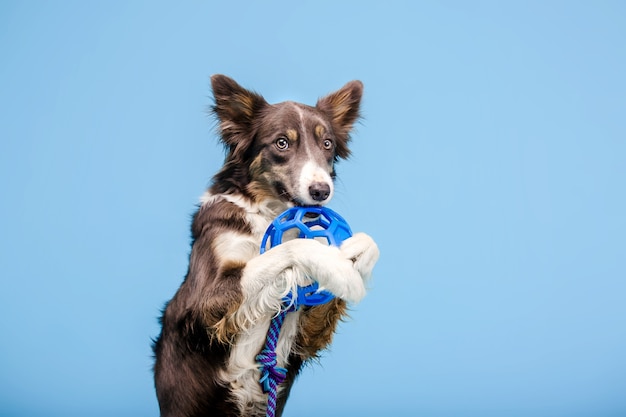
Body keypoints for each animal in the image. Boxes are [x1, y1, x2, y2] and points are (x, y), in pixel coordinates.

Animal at [153, 75, 378, 416]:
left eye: (327, 144)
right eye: (282, 143)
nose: (321, 191)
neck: (270, 212)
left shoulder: (306, 337)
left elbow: (368, 244)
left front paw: (351, 261)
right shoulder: (204, 301)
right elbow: (287, 249)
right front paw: (332, 263)